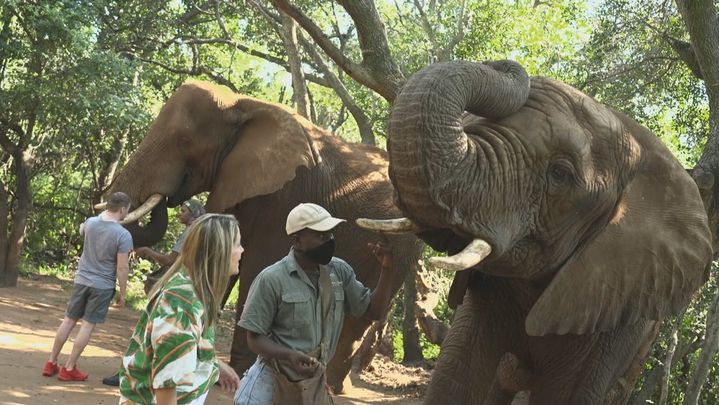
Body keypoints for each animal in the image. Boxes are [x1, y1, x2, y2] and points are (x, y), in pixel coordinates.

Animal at [105, 79, 422, 392]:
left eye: (184, 141)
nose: (168, 199)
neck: (241, 105)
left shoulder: (286, 194)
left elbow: (257, 268)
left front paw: (237, 373)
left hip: (405, 245)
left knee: (361, 317)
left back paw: (333, 386)